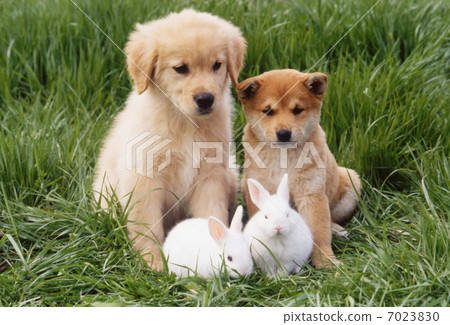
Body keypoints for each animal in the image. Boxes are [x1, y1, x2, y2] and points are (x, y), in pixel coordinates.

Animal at [92, 8, 246, 270]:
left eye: (217, 65)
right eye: (180, 68)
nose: (206, 99)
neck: (184, 123)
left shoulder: (210, 175)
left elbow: (212, 214)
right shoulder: (144, 178)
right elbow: (147, 226)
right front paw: (153, 264)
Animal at [237, 69, 360, 268]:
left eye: (297, 110)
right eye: (268, 111)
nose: (284, 134)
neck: (282, 158)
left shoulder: (311, 193)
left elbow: (318, 231)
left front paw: (326, 262)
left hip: (351, 182)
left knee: (330, 219)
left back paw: (336, 230)